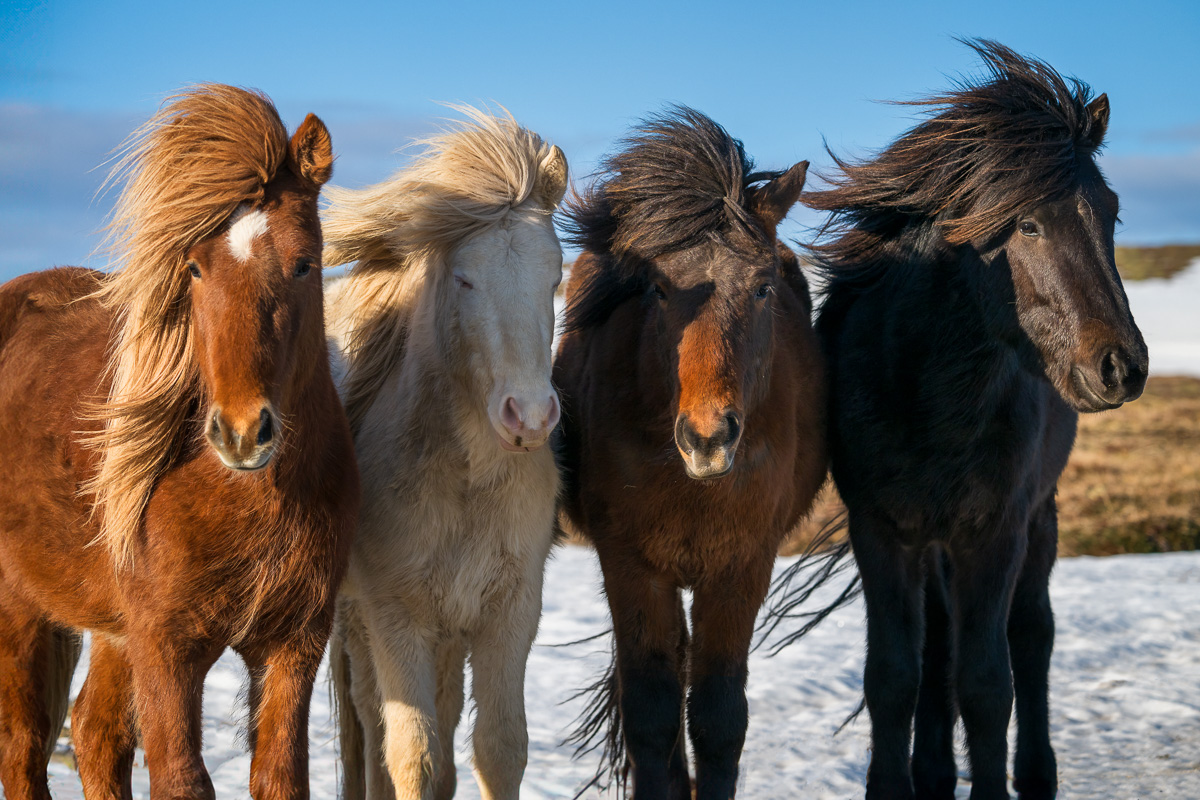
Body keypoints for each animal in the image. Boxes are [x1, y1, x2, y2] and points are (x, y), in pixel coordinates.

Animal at [0, 84, 360, 796]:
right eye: (193, 267)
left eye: (305, 265)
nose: (243, 433)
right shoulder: (168, 647)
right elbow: (181, 777)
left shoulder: (294, 643)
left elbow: (280, 776)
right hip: (20, 612)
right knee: (24, 748)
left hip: (111, 633)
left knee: (95, 734)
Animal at [321, 107, 568, 800]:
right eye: (464, 278)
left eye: (555, 275)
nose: (529, 416)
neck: (467, 481)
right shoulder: (396, 617)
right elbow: (414, 755)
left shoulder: (509, 613)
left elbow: (499, 748)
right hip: (359, 622)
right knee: (368, 720)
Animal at [556, 107, 830, 800]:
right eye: (656, 288)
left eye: (762, 288)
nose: (708, 438)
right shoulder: (632, 567)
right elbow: (653, 716)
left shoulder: (741, 567)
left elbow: (718, 716)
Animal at [801, 40, 1147, 796]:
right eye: (1027, 222)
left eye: (1110, 211)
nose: (1122, 367)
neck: (930, 397)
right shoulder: (882, 532)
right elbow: (893, 678)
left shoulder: (996, 532)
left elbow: (990, 685)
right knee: (939, 646)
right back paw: (932, 771)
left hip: (1039, 518)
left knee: (1032, 638)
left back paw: (1036, 773)